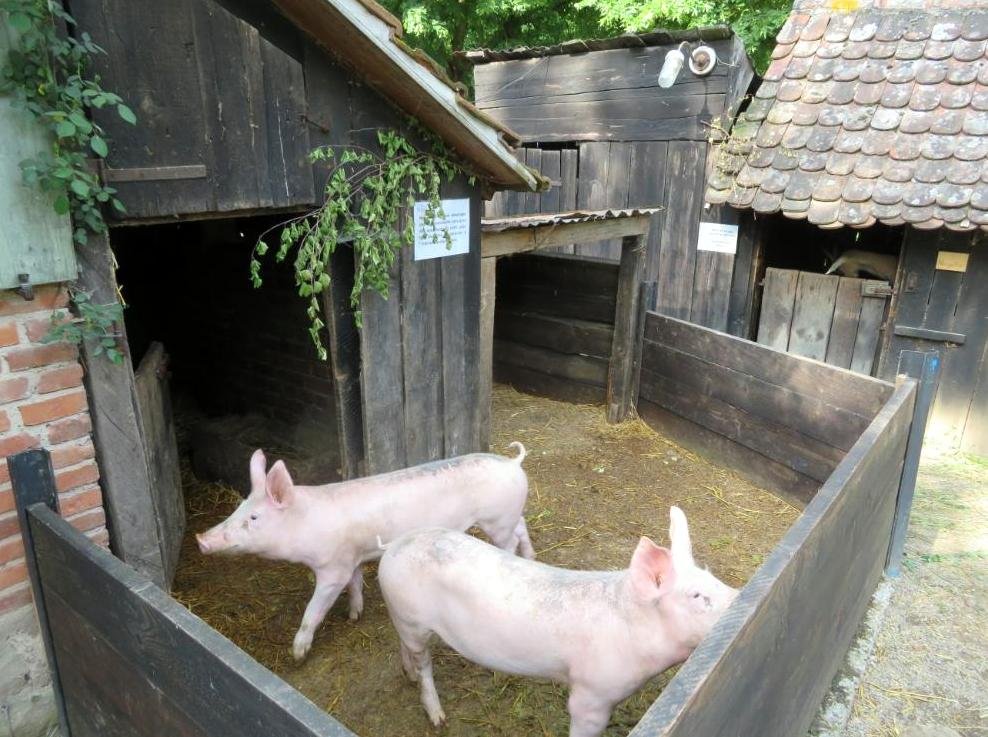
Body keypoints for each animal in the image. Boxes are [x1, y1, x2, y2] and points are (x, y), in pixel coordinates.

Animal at [196, 443, 534, 661]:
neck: (305, 523)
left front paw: (298, 655)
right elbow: (356, 583)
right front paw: (354, 616)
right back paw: (530, 556)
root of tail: (511, 463)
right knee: (522, 526)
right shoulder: (352, 556)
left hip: (496, 520)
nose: (201, 539)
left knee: (509, 542)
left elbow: (313, 610)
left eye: (253, 518)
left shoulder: (332, 568)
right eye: (239, 507)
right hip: (506, 517)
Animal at [378, 506, 738, 737]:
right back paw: (437, 717)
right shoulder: (591, 695)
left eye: (713, 577)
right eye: (697, 596)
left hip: (403, 617)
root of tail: (394, 545)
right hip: (412, 617)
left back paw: (408, 675)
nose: (739, 596)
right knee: (425, 664)